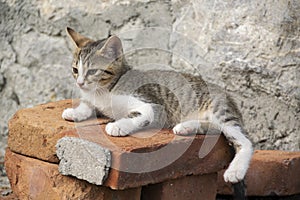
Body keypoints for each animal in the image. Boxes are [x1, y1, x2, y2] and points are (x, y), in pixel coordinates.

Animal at [62, 27, 252, 185]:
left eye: (93, 71)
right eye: (75, 70)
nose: (80, 83)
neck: (104, 91)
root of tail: (228, 95)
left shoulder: (154, 105)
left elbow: (138, 115)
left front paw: (118, 126)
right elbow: (88, 105)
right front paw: (75, 112)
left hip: (220, 109)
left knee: (245, 141)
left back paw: (235, 171)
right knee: (215, 128)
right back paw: (186, 127)